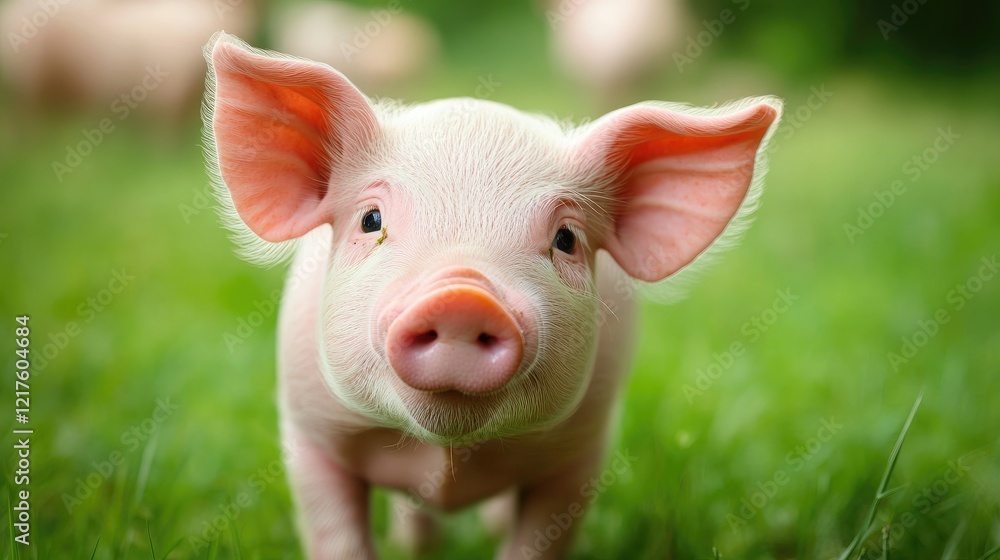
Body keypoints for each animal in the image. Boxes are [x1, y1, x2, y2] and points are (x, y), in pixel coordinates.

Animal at [203, 32, 780, 559]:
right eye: (371, 220)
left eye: (566, 239)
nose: (462, 296)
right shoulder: (309, 433)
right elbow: (336, 535)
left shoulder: (581, 452)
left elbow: (539, 540)